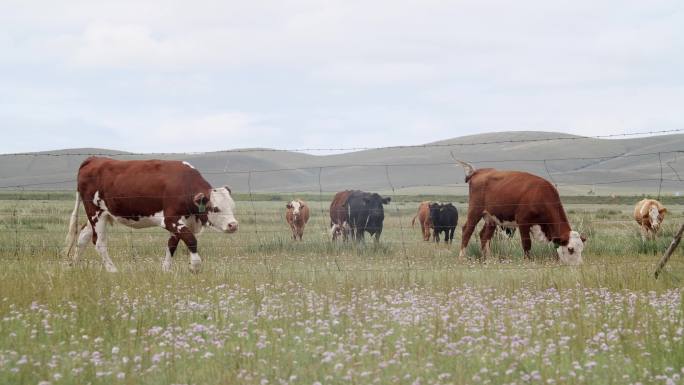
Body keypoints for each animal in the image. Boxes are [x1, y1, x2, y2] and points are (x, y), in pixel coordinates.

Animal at [64, 154, 239, 272]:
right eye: (215, 208)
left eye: (232, 206)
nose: (233, 225)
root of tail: (93, 159)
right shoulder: (170, 219)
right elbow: (190, 239)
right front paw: (195, 266)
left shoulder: (181, 222)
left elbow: (172, 245)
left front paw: (166, 269)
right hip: (95, 212)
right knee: (99, 242)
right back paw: (112, 270)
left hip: (98, 214)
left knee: (83, 236)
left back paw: (74, 266)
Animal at [454, 160, 588, 264]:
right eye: (570, 249)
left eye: (582, 249)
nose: (579, 265)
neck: (540, 194)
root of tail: (479, 172)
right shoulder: (523, 222)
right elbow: (527, 244)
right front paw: (527, 262)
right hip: (475, 211)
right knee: (467, 230)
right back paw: (462, 257)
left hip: (491, 218)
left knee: (484, 236)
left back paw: (488, 259)